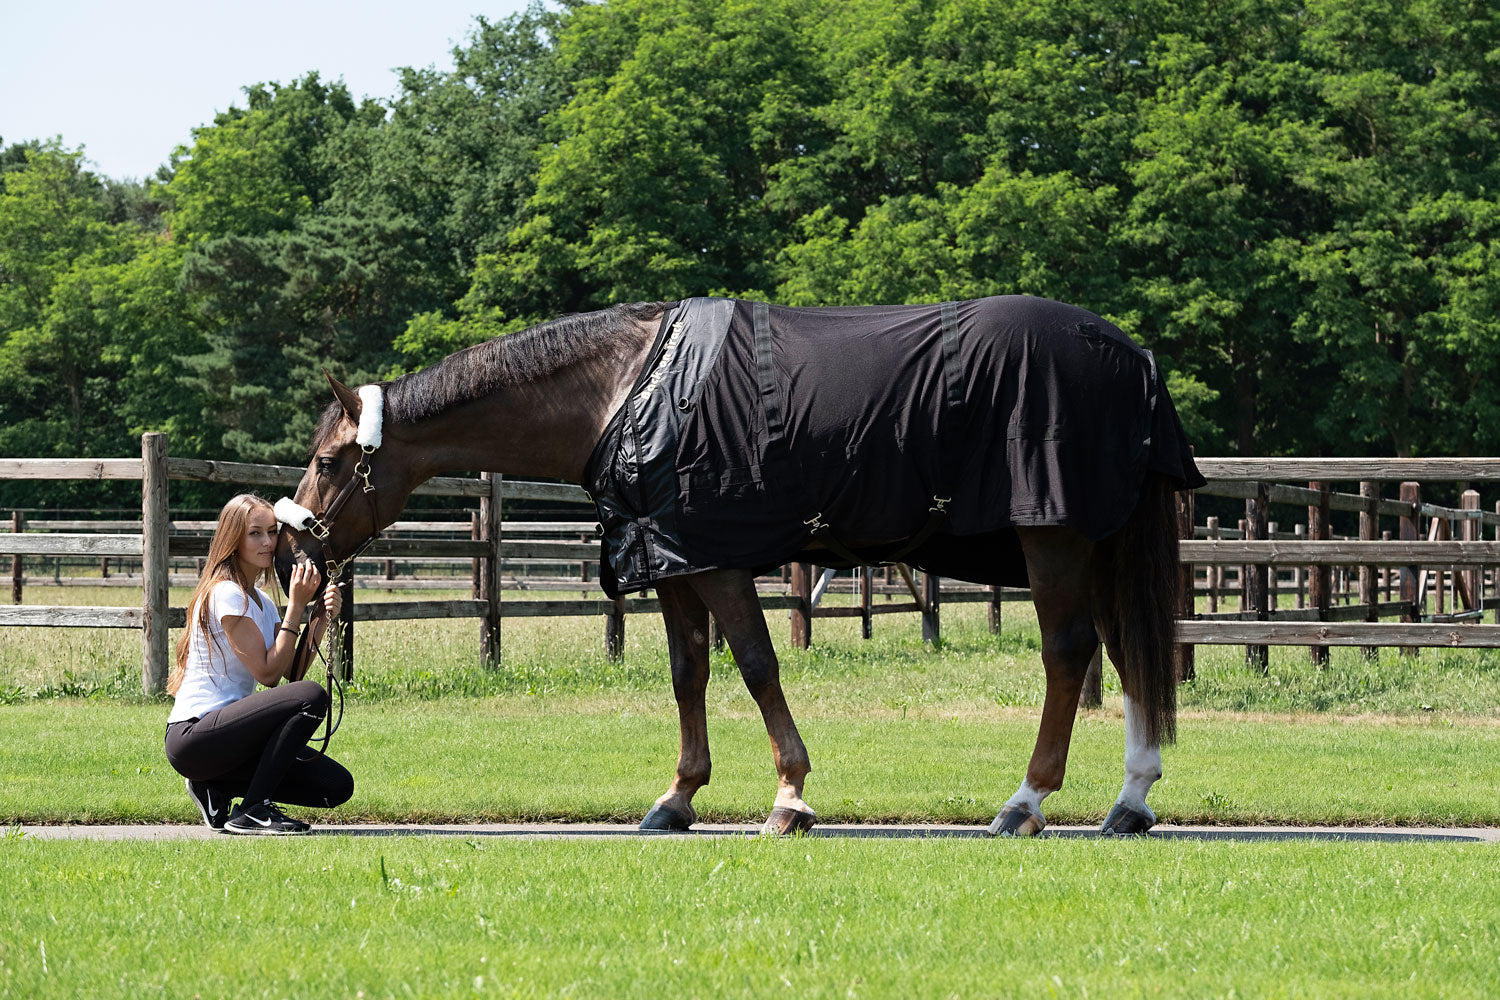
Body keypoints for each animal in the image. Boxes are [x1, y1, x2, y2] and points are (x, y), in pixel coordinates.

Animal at [275, 295, 1205, 836]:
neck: (629, 389)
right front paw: (678, 798)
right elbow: (690, 673)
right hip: (1099, 544)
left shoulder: (715, 558)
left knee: (1070, 654)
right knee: (1129, 653)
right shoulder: (675, 560)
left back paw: (1026, 802)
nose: (294, 551)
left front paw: (790, 797)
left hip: (1054, 537)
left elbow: (756, 665)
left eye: (326, 461)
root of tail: (1130, 357)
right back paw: (1130, 802)